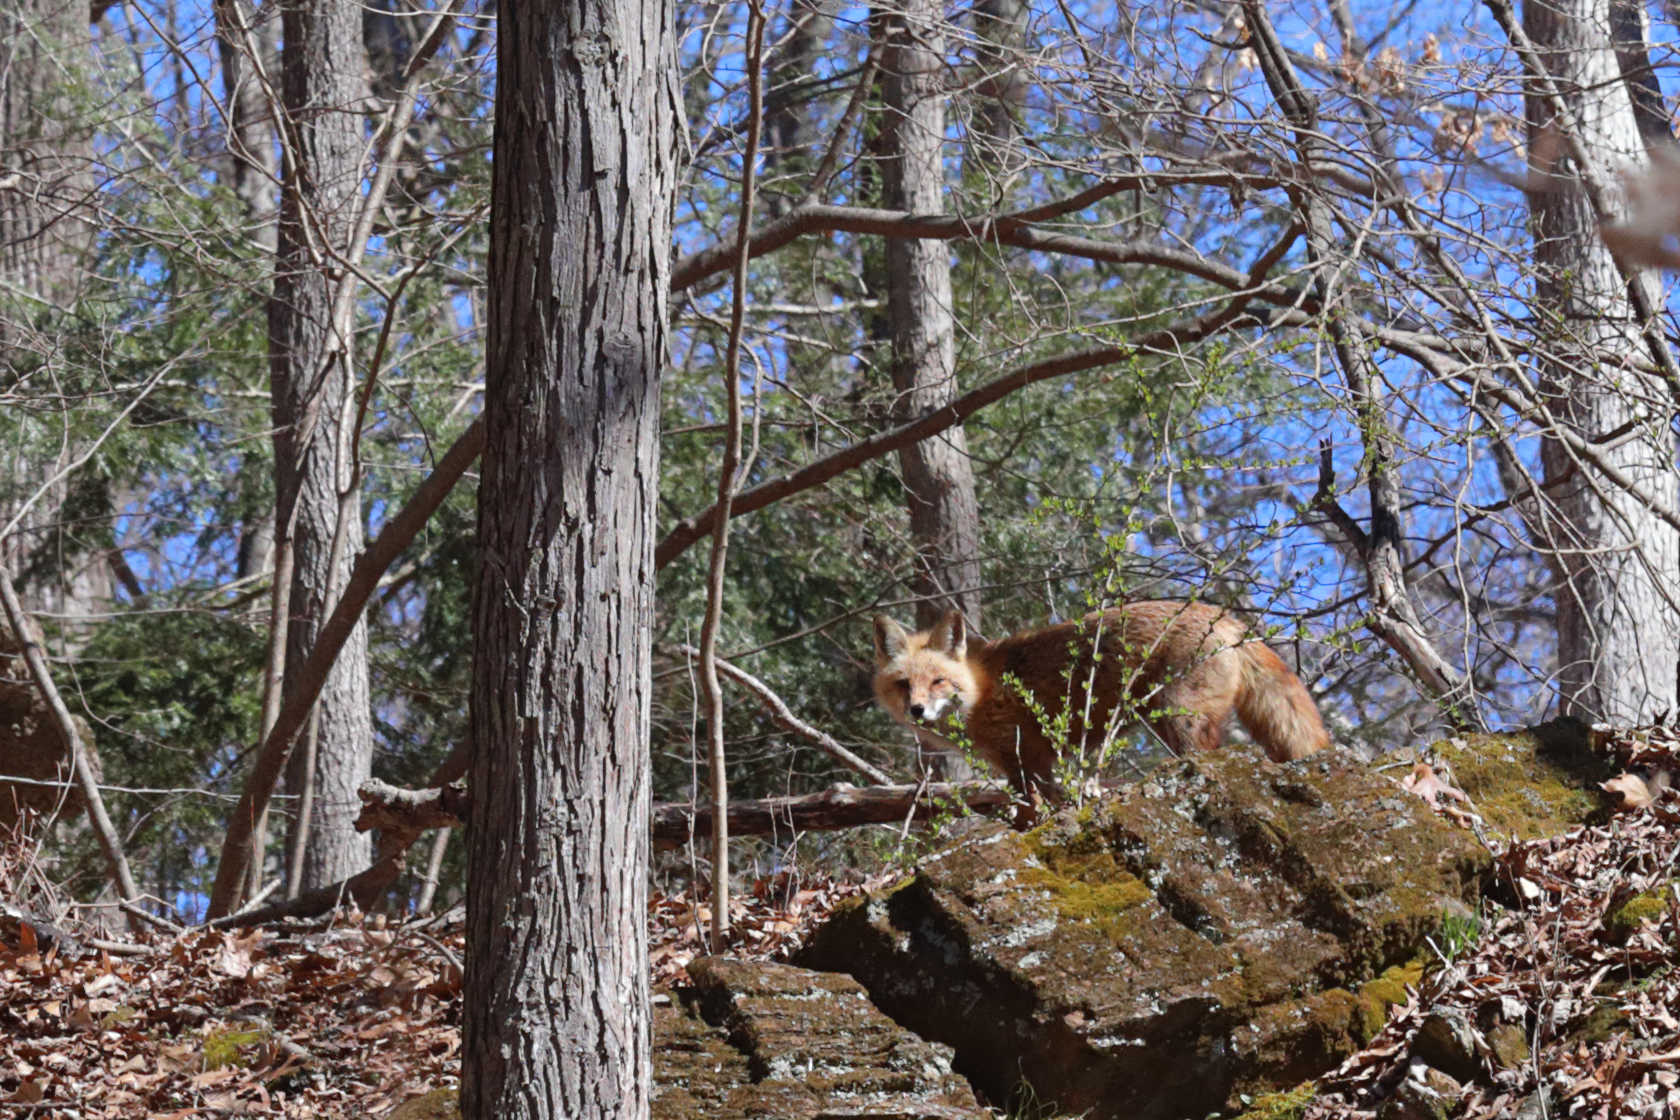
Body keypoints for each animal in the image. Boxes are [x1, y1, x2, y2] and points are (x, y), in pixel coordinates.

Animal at [871, 601, 1330, 803]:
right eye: (903, 685)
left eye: (938, 681)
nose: (917, 711)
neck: (982, 691)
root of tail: (1222, 615)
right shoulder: (1035, 764)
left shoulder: (1025, 760)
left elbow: (1030, 812)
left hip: (1178, 718)